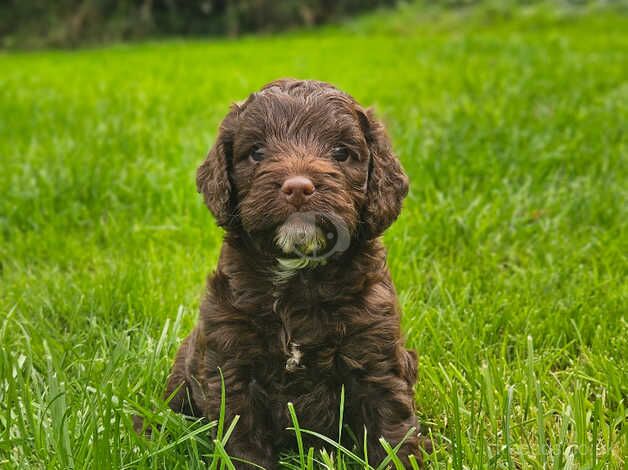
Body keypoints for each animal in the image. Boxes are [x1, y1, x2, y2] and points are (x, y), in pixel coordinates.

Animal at [166, 79, 426, 468]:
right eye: (257, 152)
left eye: (341, 152)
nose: (298, 187)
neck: (298, 276)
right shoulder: (230, 362)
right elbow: (242, 438)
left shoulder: (376, 353)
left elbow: (391, 427)